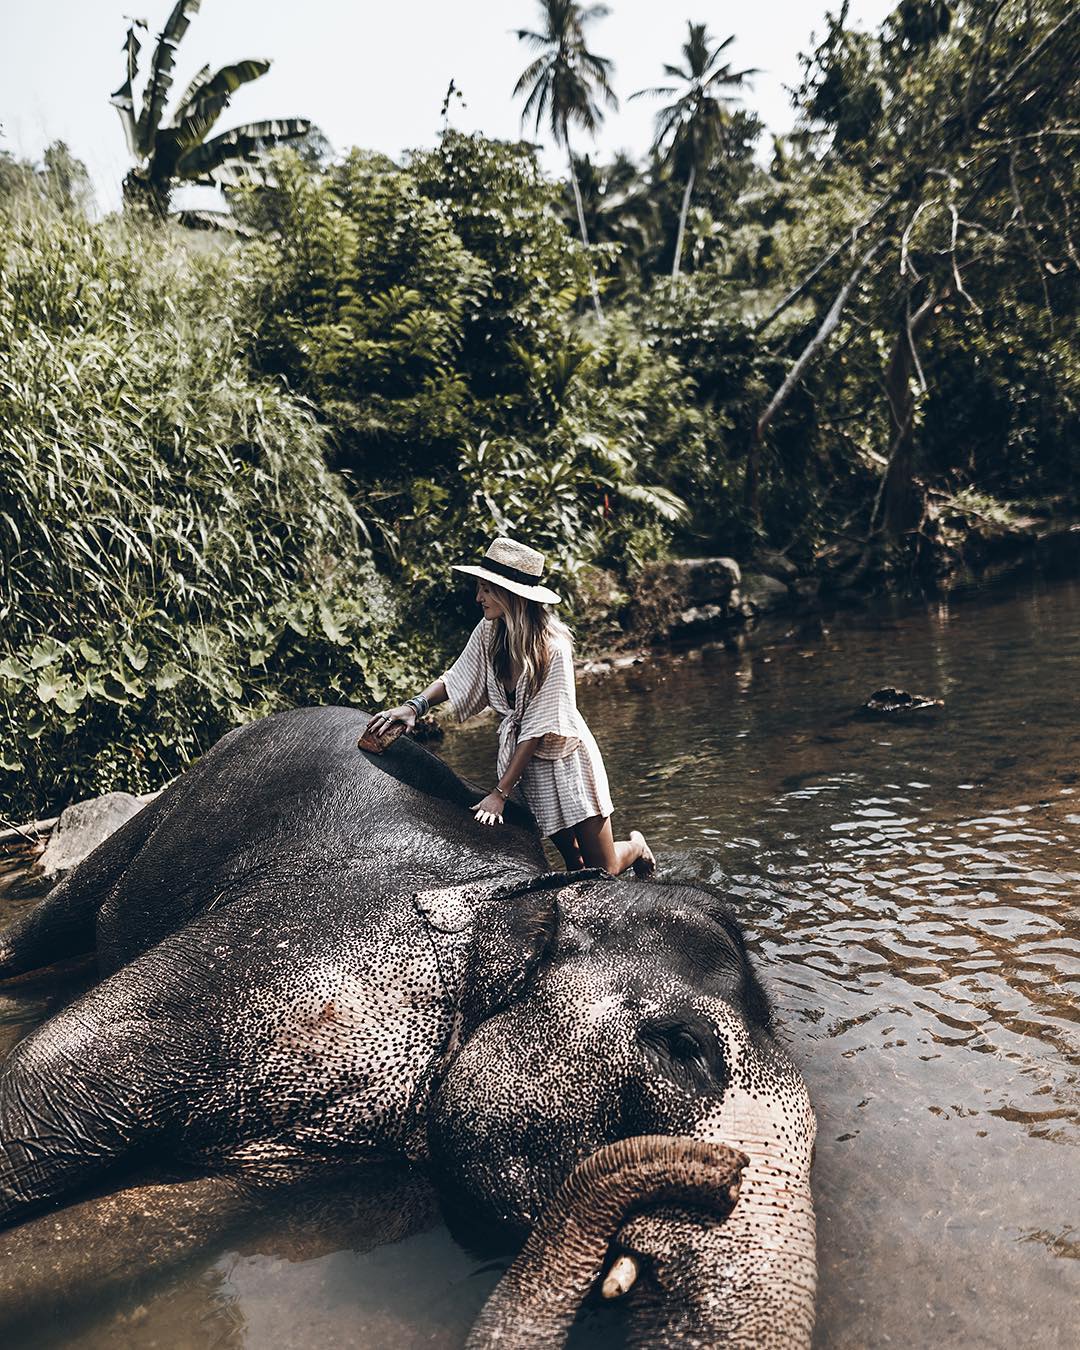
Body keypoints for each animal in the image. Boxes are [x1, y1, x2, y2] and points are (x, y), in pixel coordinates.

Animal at [0, 707, 815, 1350]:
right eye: (685, 1049)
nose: (718, 1177)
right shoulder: (275, 953)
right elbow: (45, 1083)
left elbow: (128, 1228)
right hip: (179, 796)